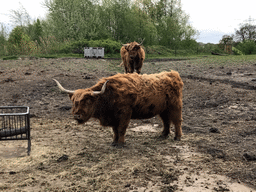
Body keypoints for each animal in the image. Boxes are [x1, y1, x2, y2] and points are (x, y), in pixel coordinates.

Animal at [53, 71, 183, 147]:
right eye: (74, 101)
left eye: (88, 101)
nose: (77, 115)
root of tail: (172, 74)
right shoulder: (113, 117)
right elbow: (115, 130)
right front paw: (114, 142)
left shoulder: (125, 113)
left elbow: (121, 129)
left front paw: (120, 143)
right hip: (163, 109)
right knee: (166, 121)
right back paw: (163, 135)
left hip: (175, 106)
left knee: (177, 121)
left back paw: (177, 137)